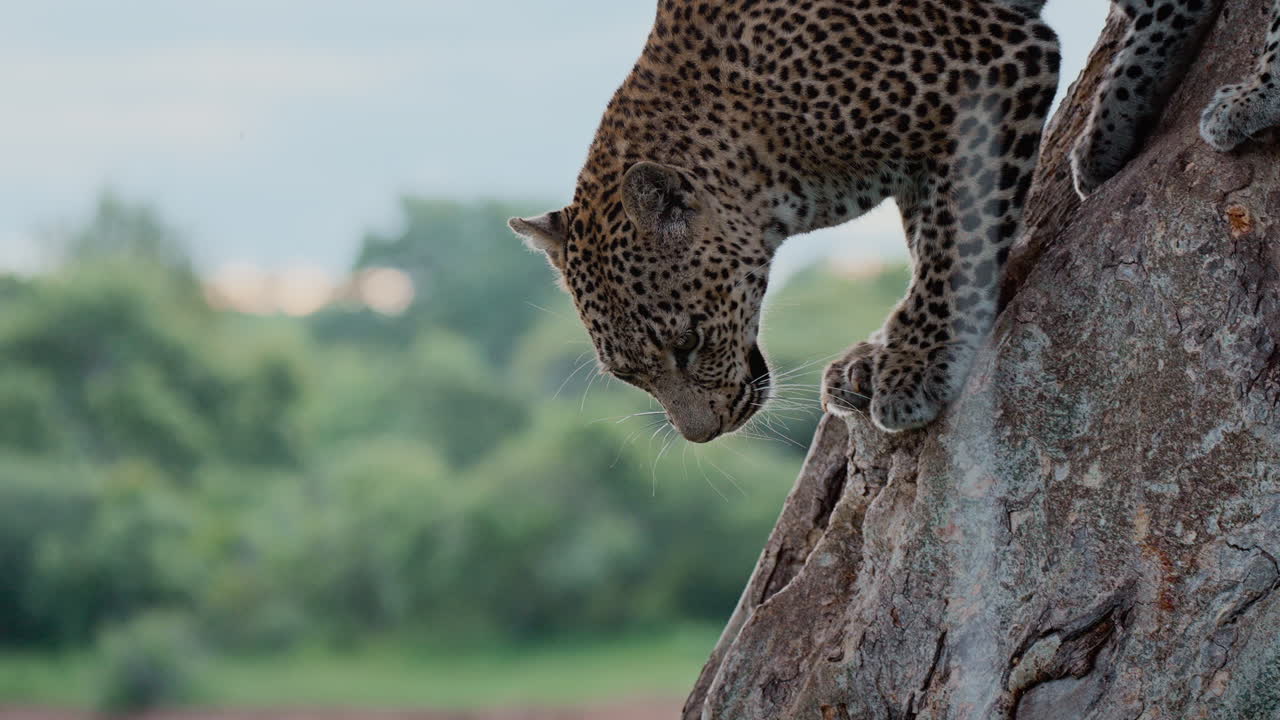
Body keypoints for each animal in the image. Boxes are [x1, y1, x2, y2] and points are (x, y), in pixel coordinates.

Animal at [510, 0, 1280, 441]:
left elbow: (954, 241)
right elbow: (927, 236)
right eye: (629, 374)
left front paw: (918, 364)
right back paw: (1110, 128)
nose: (702, 436)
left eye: (688, 343)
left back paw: (1254, 95)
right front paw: (881, 353)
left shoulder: (987, 64)